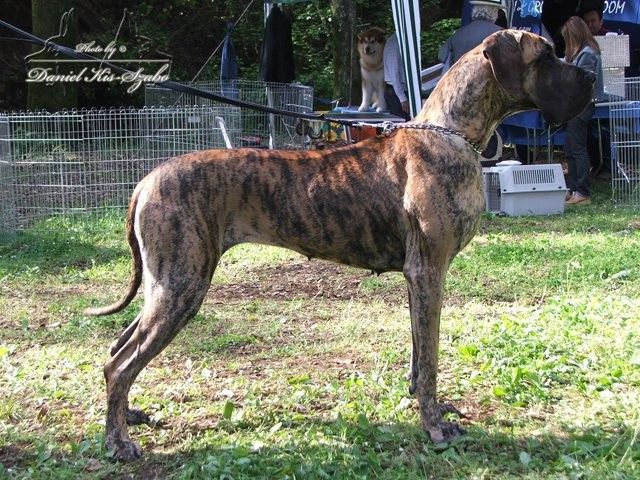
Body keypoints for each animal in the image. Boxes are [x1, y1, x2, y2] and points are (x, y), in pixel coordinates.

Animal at [85, 30, 595, 460]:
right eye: (546, 55)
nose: (590, 76)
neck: (450, 133)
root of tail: (145, 182)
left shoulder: (417, 280)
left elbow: (418, 355)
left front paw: (424, 403)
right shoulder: (429, 273)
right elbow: (431, 359)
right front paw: (434, 428)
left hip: (166, 286)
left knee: (117, 349)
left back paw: (128, 416)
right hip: (182, 285)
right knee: (120, 365)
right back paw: (119, 442)